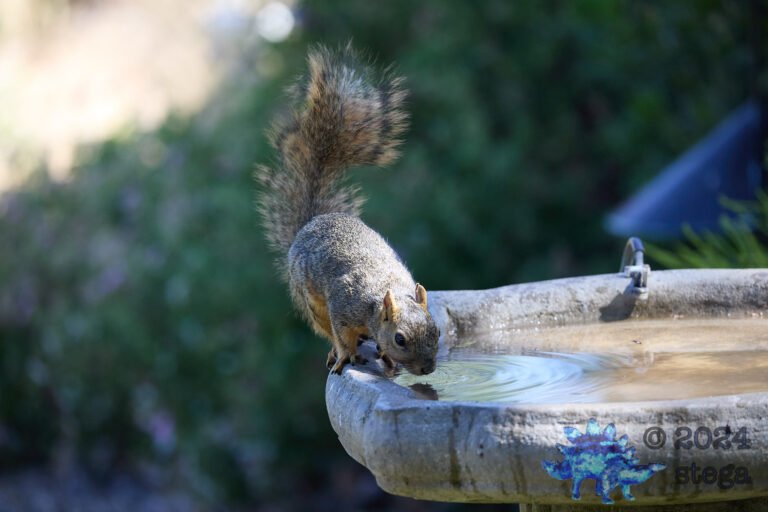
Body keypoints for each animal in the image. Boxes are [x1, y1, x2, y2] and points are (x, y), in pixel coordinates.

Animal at [256, 46, 439, 375]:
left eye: (437, 331)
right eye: (401, 338)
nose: (428, 369)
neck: (382, 296)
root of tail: (314, 220)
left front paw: (387, 360)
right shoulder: (341, 306)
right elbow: (342, 336)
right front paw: (347, 355)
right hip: (311, 303)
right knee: (325, 329)